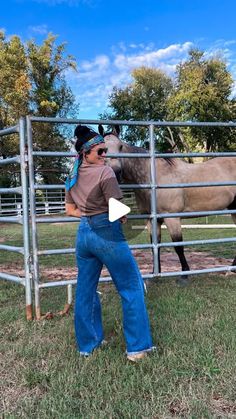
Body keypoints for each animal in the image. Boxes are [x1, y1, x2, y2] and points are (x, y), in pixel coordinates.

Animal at [98, 123, 236, 284]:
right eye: (102, 149)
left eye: (120, 146)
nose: (116, 172)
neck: (154, 178)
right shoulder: (152, 220)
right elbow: (155, 245)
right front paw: (154, 275)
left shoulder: (172, 218)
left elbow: (178, 246)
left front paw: (184, 275)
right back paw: (231, 269)